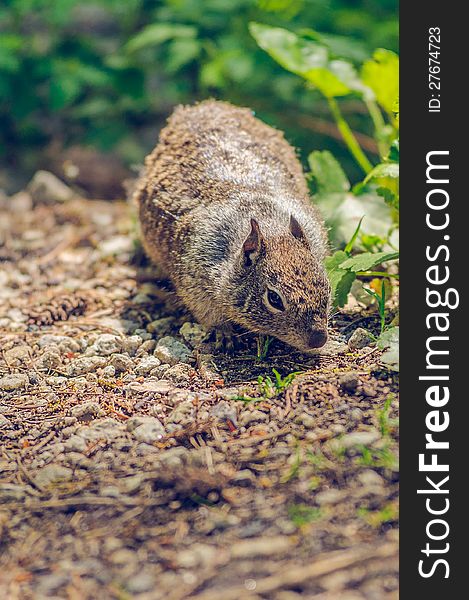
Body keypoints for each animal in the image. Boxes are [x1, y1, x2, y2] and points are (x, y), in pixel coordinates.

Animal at [135, 101, 330, 354]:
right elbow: (211, 315)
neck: (271, 228)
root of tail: (203, 106)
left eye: (326, 286)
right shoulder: (196, 286)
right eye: (274, 299)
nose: (319, 339)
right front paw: (225, 334)